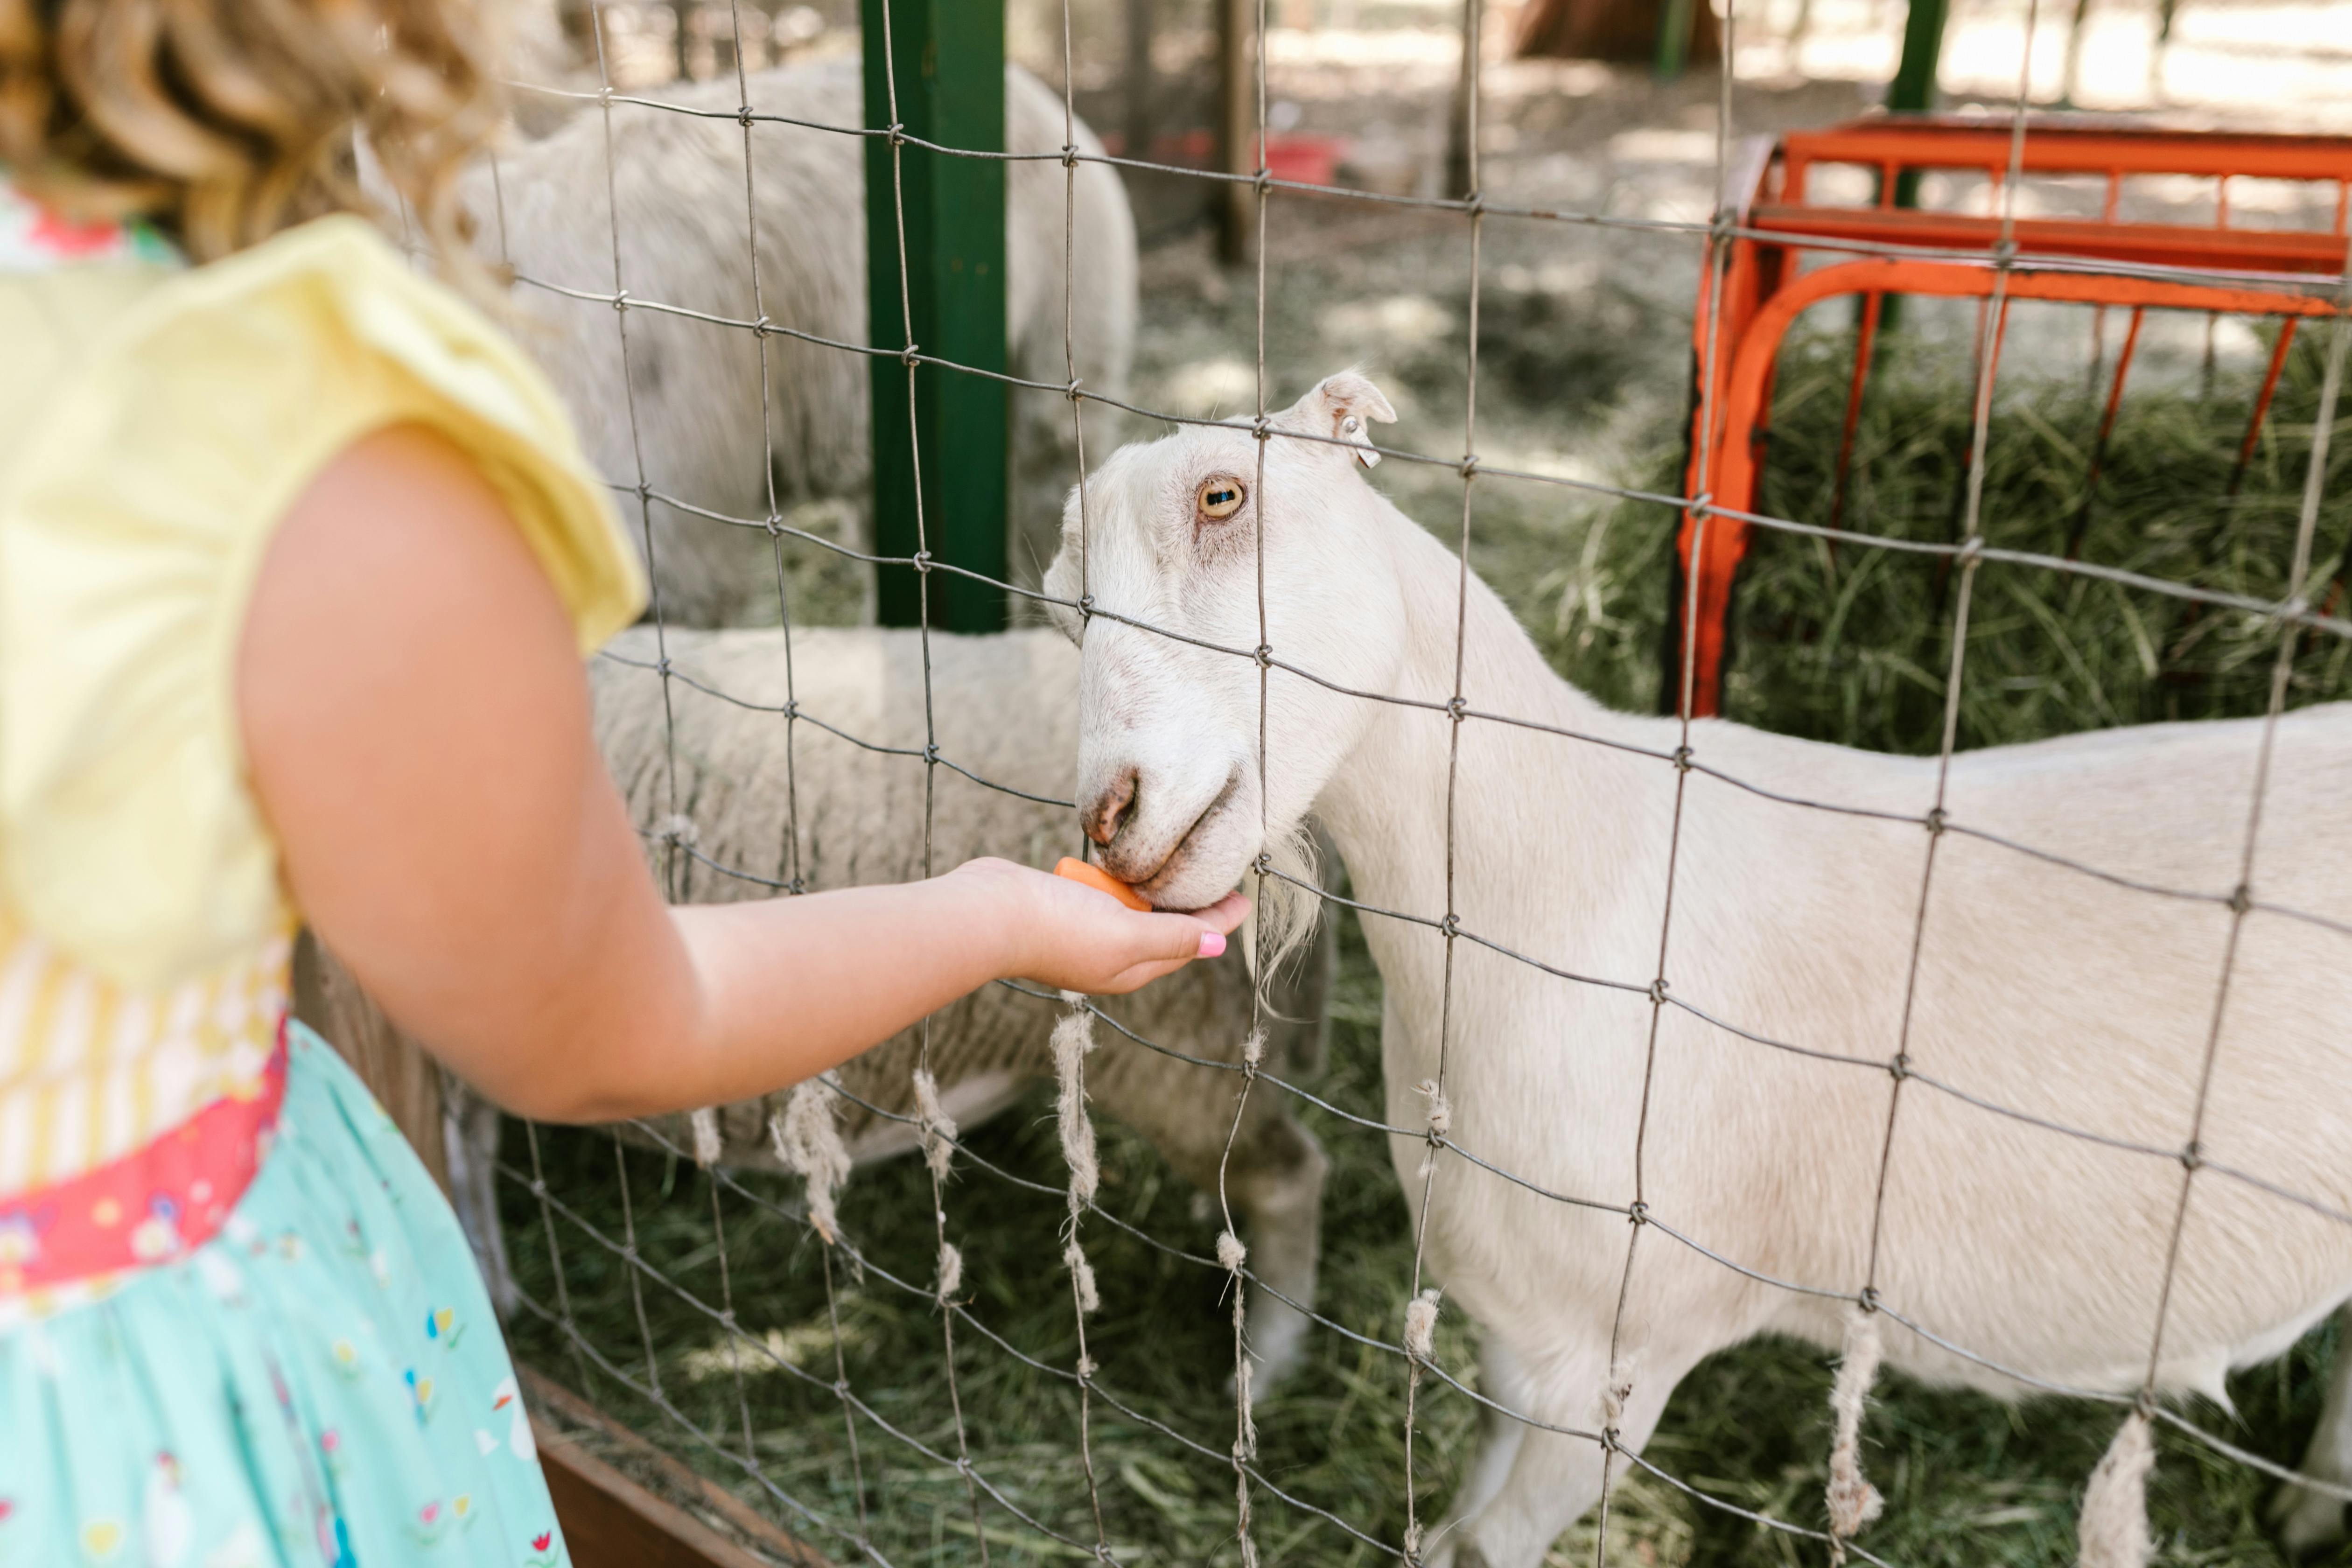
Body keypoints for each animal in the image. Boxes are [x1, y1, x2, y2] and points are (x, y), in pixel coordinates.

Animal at [1045, 369, 2352, 1566]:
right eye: (1064, 610)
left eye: (1224, 495)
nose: (1110, 815)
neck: (1580, 884)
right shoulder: (1522, 1332)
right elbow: (1458, 1525)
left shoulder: (1619, 1360)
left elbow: (1487, 1546)